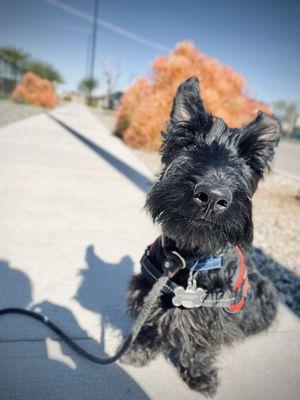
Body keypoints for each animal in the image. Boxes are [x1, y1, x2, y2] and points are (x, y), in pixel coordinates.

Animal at [120, 76, 280, 396]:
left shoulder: (210, 318)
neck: (190, 258)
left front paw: (200, 376)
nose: (212, 197)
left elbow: (200, 346)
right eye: (188, 142)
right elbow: (148, 326)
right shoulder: (149, 292)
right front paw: (138, 352)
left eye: (248, 159)